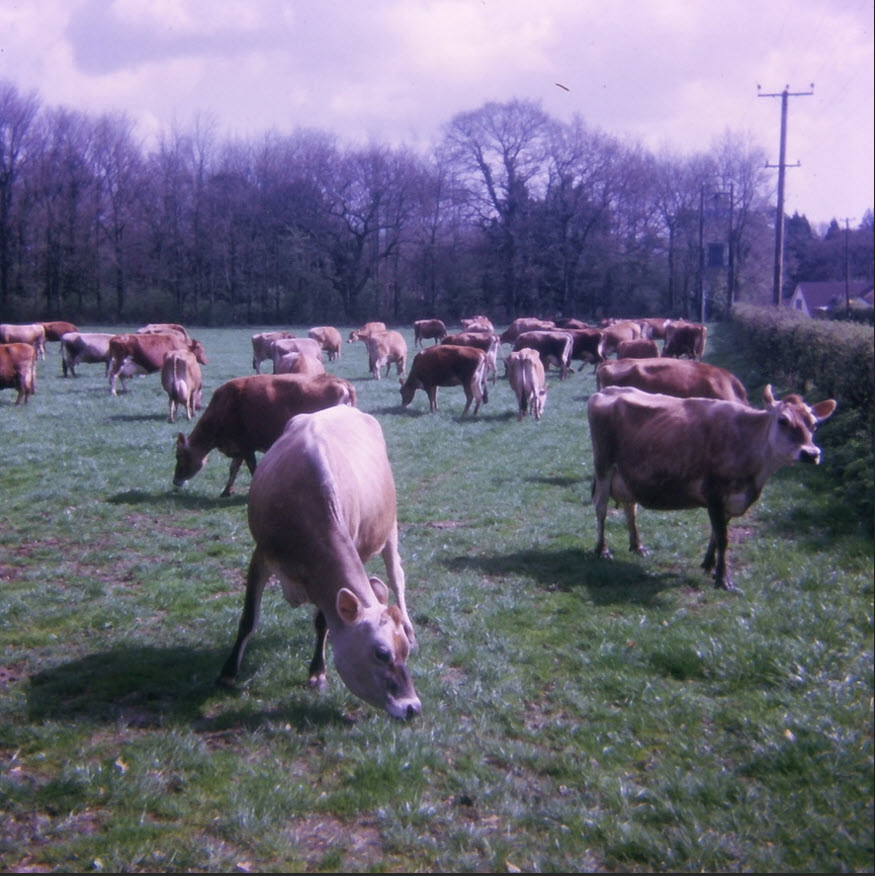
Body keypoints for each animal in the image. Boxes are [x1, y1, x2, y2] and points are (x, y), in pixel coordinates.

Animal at [173, 372, 357, 496]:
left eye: (179, 456)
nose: (175, 481)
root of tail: (340, 382)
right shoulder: (239, 447)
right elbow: (233, 469)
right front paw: (227, 490)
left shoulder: (246, 446)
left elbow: (252, 468)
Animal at [216, 405, 420, 720]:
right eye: (381, 653)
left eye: (404, 653)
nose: (412, 707)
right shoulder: (261, 555)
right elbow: (249, 618)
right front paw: (227, 673)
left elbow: (323, 621)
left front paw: (318, 673)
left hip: (389, 525)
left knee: (396, 576)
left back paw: (410, 627)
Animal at [587, 384, 836, 590]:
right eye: (783, 420)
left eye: (814, 425)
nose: (811, 453)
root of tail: (609, 390)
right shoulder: (714, 494)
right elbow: (723, 538)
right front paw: (723, 579)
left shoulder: (731, 500)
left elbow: (717, 534)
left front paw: (709, 565)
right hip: (604, 465)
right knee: (601, 508)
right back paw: (602, 550)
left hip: (628, 475)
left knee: (631, 508)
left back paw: (638, 546)